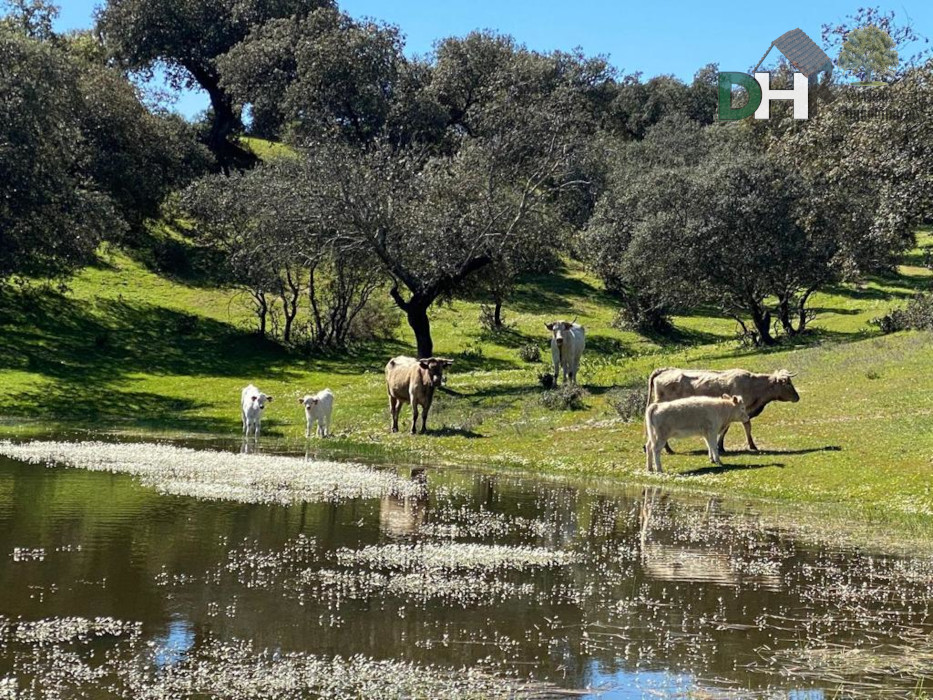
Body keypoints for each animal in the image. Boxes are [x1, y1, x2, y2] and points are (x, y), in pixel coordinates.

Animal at [644, 366, 796, 454]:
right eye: (788, 383)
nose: (797, 397)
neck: (754, 385)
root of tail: (665, 370)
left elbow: (727, 429)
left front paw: (721, 446)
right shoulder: (741, 410)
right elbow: (744, 427)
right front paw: (752, 446)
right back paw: (667, 449)